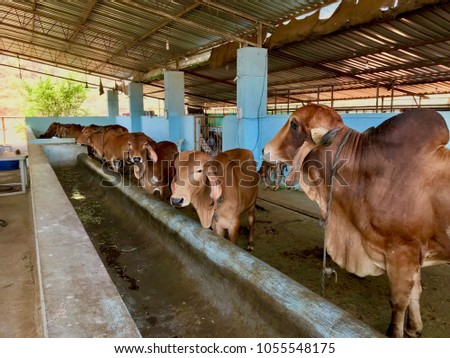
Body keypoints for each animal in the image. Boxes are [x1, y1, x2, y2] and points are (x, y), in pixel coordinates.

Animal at [264, 104, 450, 338]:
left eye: (294, 124)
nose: (265, 150)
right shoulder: (414, 255)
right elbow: (415, 293)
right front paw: (413, 328)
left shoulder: (403, 253)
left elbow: (399, 301)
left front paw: (395, 332)